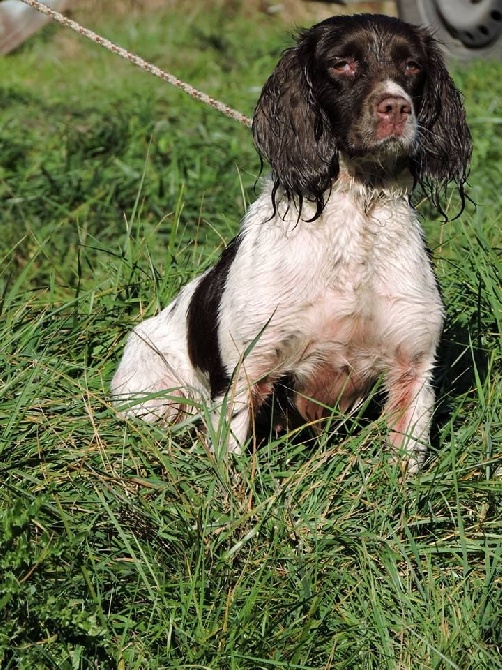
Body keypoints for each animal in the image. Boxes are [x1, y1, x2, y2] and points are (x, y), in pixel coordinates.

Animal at [110, 10, 470, 472]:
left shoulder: (414, 367)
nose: (396, 106)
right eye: (341, 64)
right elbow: (229, 469)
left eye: (412, 67)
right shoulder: (246, 370)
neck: (355, 218)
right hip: (154, 397)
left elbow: (403, 469)